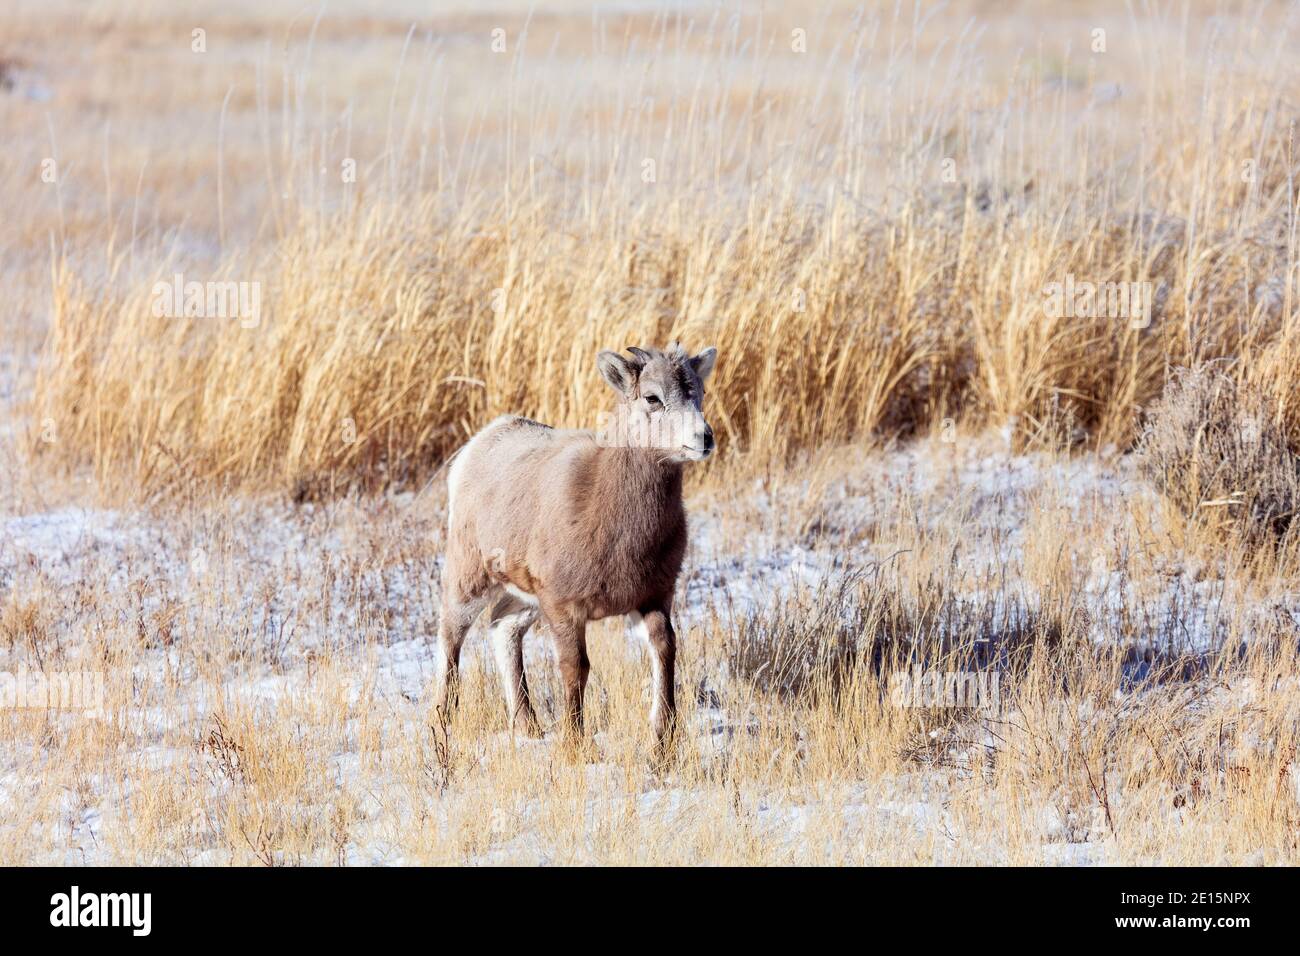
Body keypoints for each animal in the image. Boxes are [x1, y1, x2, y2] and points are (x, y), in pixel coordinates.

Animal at [434, 343, 718, 757]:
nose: (704, 438)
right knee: (452, 636)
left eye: (699, 392)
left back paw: (529, 728)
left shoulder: (653, 598)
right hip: (469, 579)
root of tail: (483, 440)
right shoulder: (565, 608)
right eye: (652, 398)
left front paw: (662, 741)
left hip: (525, 599)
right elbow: (575, 668)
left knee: (503, 629)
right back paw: (444, 723)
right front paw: (573, 745)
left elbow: (665, 652)